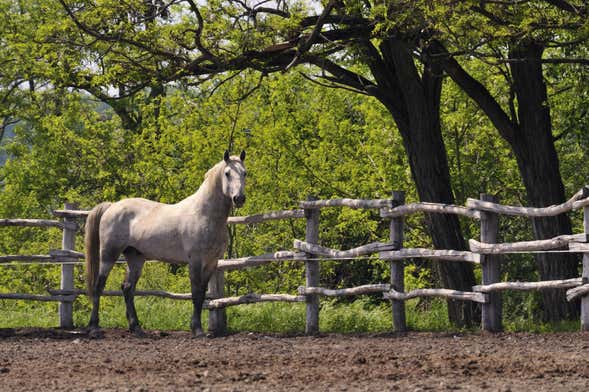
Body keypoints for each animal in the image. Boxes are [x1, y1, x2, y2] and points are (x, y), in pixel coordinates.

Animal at [85, 150, 246, 336]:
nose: (239, 198)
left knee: (127, 288)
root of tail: (112, 206)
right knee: (99, 286)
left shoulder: (212, 262)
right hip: (108, 255)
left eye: (245, 173)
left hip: (136, 258)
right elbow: (196, 293)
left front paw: (197, 328)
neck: (204, 214)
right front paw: (197, 329)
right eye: (227, 173)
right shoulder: (195, 261)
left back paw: (136, 327)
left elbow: (202, 294)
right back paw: (94, 327)